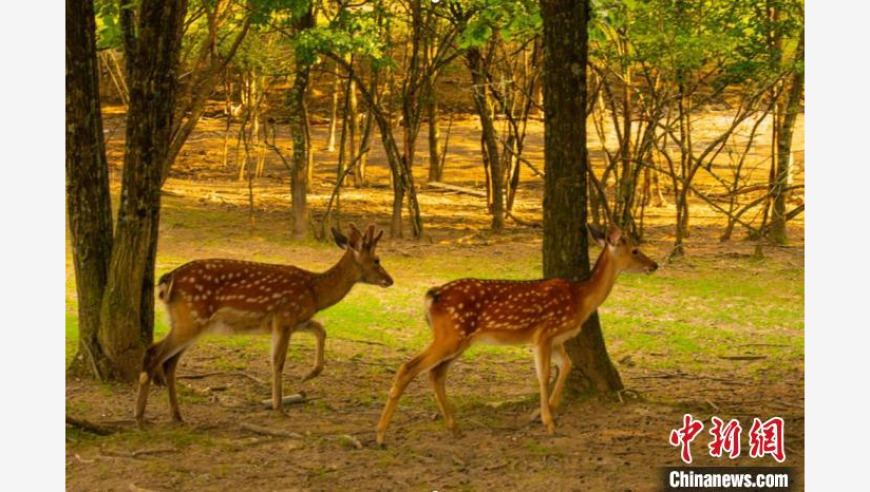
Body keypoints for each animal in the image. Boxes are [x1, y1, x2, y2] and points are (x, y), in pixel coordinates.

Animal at [136, 225, 396, 424]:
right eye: (377, 260)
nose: (390, 280)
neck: (315, 293)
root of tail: (168, 280)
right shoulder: (285, 316)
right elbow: (278, 361)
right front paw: (280, 408)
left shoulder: (295, 319)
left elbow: (321, 330)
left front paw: (309, 375)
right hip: (191, 318)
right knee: (153, 353)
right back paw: (140, 417)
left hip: (188, 323)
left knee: (169, 362)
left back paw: (177, 416)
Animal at [376, 225, 660, 444]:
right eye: (635, 250)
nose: (655, 265)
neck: (580, 300)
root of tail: (432, 296)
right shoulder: (544, 332)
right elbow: (544, 375)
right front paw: (548, 422)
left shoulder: (555, 339)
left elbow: (566, 365)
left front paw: (546, 410)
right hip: (451, 335)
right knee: (409, 367)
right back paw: (380, 435)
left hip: (459, 340)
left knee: (436, 373)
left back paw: (454, 428)